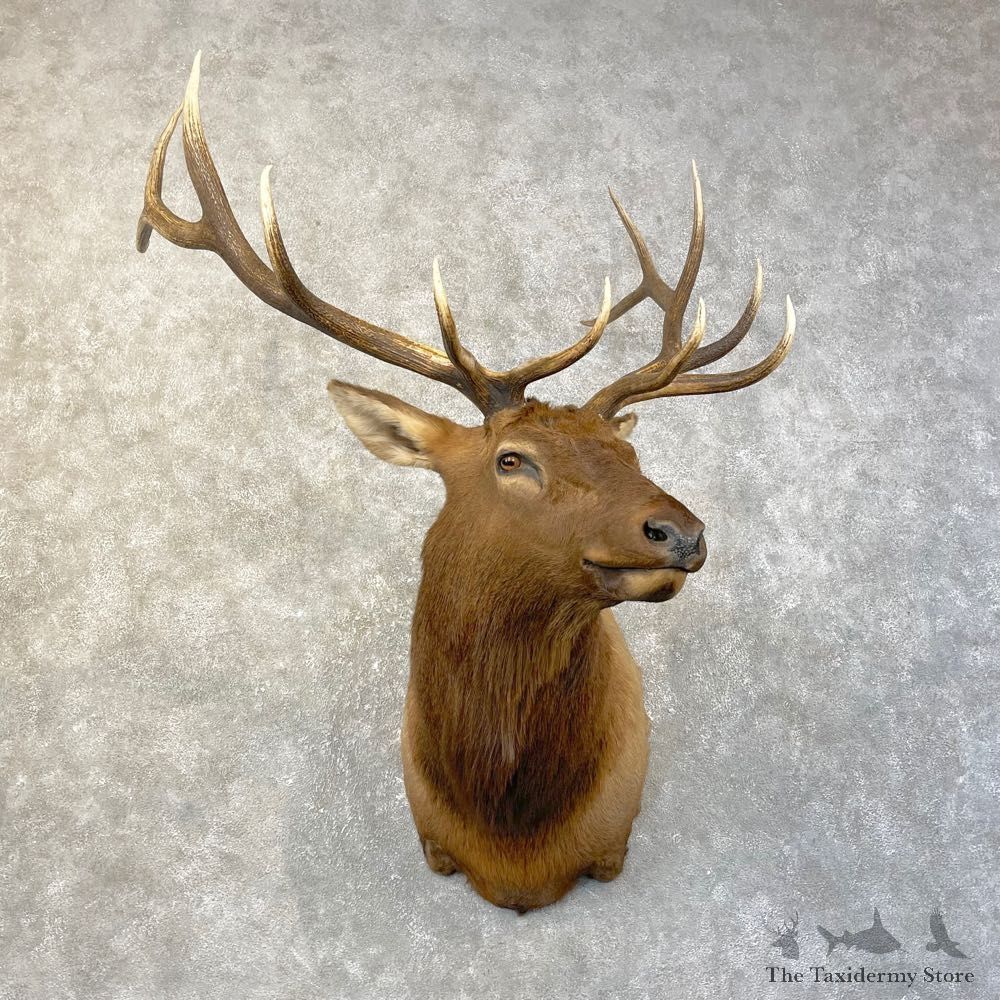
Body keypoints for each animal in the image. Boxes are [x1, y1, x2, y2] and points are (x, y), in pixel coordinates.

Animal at [137, 54, 796, 913]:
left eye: (627, 454)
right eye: (511, 458)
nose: (680, 531)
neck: (514, 846)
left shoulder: (614, 841)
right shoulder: (430, 836)